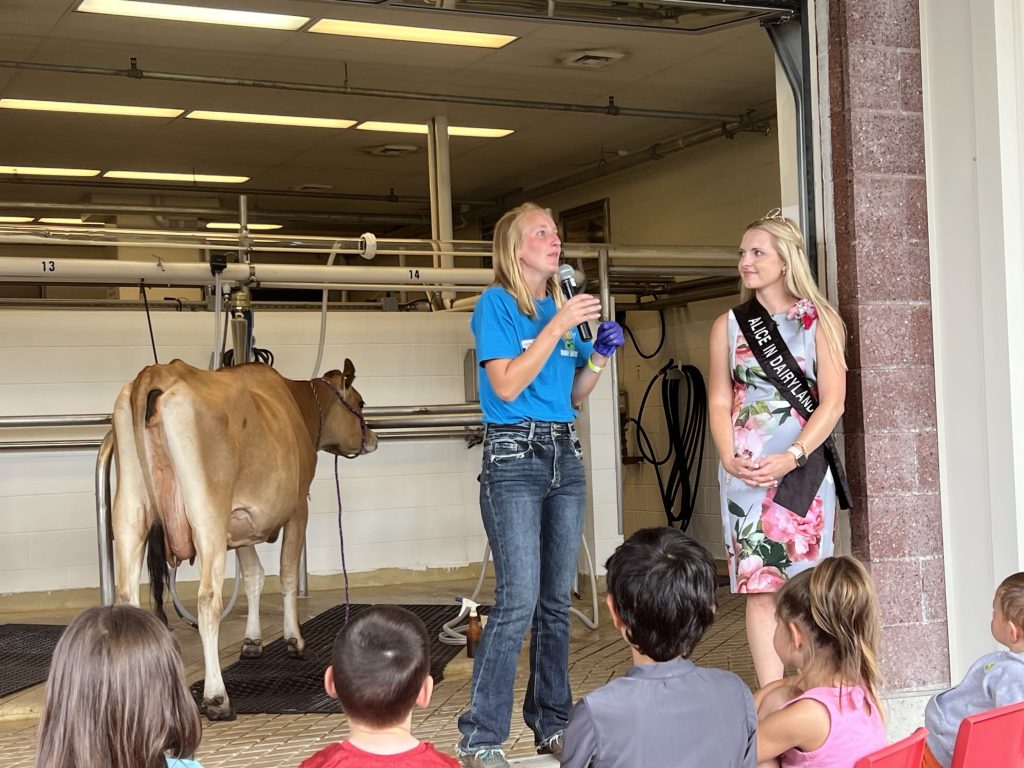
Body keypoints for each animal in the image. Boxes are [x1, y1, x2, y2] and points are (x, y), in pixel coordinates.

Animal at [113, 360, 376, 720]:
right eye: (361, 403)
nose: (373, 439)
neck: (297, 404)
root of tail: (158, 373)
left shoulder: (240, 522)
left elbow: (253, 575)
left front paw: (252, 641)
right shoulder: (297, 507)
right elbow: (287, 573)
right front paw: (294, 640)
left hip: (129, 511)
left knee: (127, 596)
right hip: (207, 514)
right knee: (208, 599)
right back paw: (217, 698)